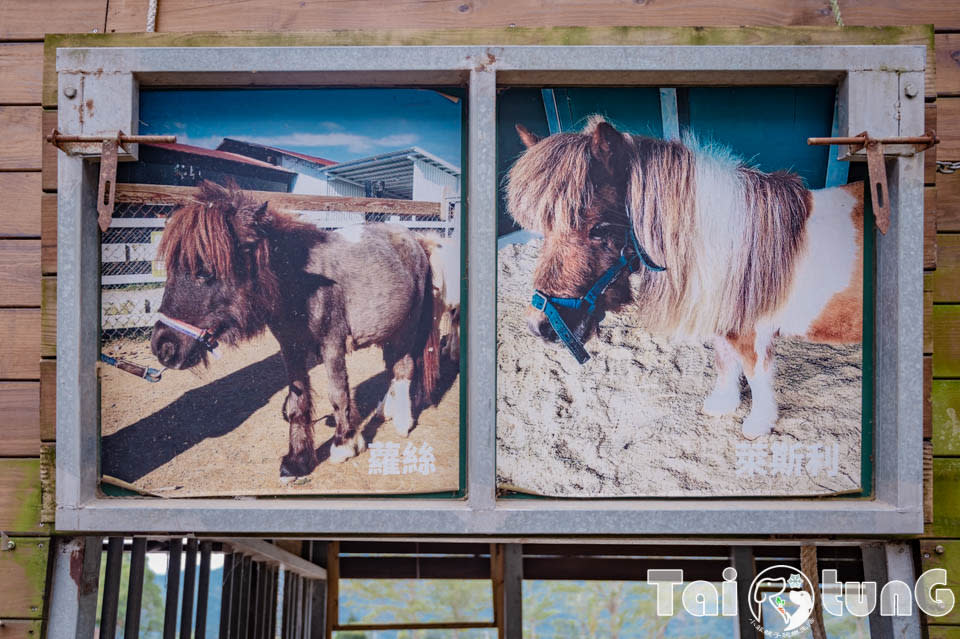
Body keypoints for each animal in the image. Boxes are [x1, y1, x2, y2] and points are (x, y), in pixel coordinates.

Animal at [151, 182, 442, 478]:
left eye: (204, 271)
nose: (163, 346)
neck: (303, 284)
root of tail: (417, 241)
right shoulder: (291, 347)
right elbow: (296, 402)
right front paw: (298, 460)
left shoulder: (332, 344)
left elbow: (338, 393)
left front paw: (344, 445)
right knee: (392, 368)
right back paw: (386, 411)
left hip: (407, 327)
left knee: (404, 368)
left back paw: (403, 422)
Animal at [510, 117, 864, 440]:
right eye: (544, 229)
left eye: (599, 228)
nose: (539, 326)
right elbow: (725, 363)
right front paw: (723, 404)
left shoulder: (750, 333)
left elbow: (756, 375)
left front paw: (757, 425)